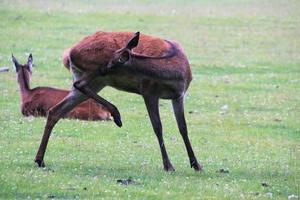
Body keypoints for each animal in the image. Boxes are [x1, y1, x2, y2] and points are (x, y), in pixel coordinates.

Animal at [34, 31, 202, 172]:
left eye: (113, 62)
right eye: (110, 58)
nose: (103, 68)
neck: (176, 74)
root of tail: (68, 54)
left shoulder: (179, 96)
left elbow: (183, 128)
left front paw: (196, 165)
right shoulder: (148, 92)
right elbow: (158, 127)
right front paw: (168, 166)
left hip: (96, 80)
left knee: (56, 110)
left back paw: (39, 160)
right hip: (95, 75)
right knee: (78, 86)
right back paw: (116, 115)